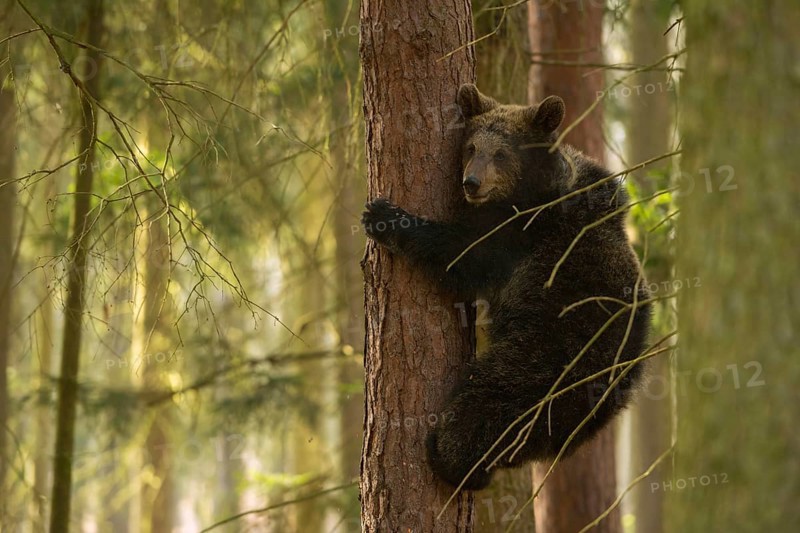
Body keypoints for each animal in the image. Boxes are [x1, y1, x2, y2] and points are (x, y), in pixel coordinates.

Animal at [361, 84, 652, 490]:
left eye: (501, 153)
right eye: (471, 147)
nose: (471, 183)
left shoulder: (520, 236)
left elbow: (461, 253)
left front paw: (385, 217)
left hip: (552, 352)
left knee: (496, 398)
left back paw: (449, 454)